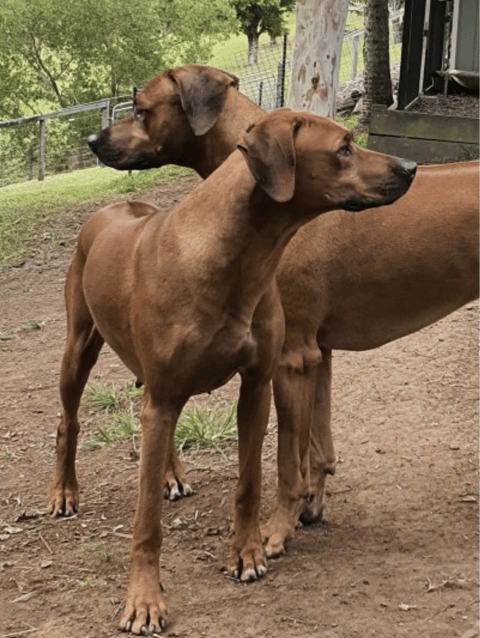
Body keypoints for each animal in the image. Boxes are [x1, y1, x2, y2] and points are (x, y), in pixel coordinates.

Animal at [49, 106, 416, 636]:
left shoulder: (256, 384)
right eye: (344, 148)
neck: (235, 257)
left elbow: (250, 482)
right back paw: (63, 492)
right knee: (69, 422)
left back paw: (170, 475)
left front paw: (246, 554)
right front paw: (144, 600)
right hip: (79, 348)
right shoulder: (165, 394)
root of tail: (113, 208)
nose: (410, 167)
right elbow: (146, 521)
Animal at [87, 65, 480, 560]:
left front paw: (275, 530)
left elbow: (285, 463)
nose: (91, 139)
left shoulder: (290, 358)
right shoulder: (318, 353)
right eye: (344, 147)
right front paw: (311, 508)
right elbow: (319, 449)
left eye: (140, 110)